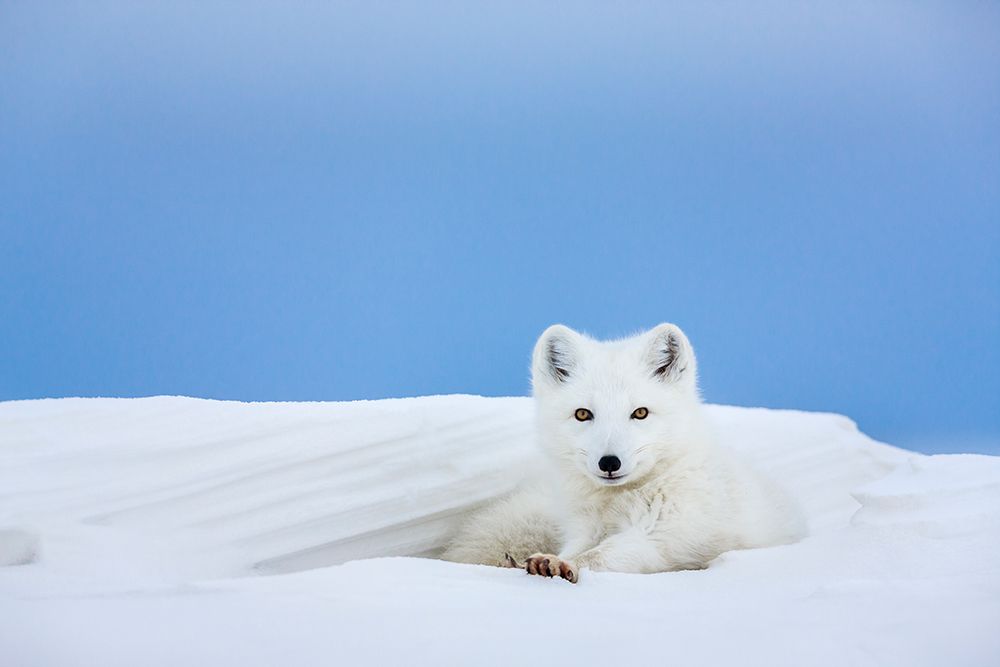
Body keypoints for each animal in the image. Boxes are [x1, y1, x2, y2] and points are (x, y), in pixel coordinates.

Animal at [443, 323, 805, 583]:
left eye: (640, 413)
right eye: (583, 414)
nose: (609, 462)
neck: (618, 503)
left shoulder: (665, 537)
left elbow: (601, 554)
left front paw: (564, 565)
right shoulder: (582, 530)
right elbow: (579, 549)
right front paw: (551, 560)